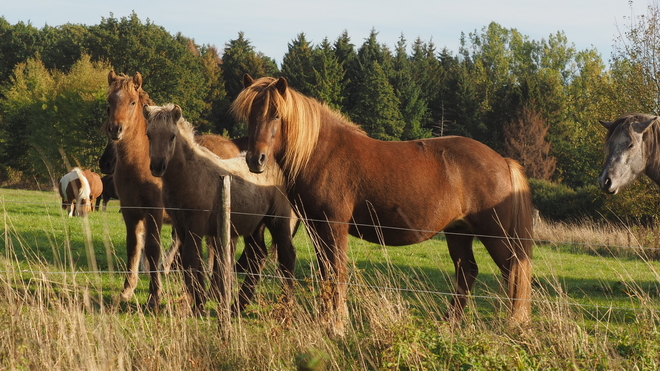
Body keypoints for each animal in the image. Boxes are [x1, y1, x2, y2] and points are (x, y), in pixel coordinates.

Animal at [147, 104, 300, 314]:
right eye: (148, 135)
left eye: (172, 136)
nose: (157, 166)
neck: (190, 174)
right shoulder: (181, 226)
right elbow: (189, 262)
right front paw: (196, 302)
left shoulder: (196, 224)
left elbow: (191, 259)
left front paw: (199, 305)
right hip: (255, 225)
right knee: (257, 256)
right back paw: (238, 305)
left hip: (278, 220)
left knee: (287, 255)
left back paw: (286, 306)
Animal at [235, 74, 532, 332]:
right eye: (250, 114)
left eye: (276, 114)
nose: (255, 159)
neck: (322, 153)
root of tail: (503, 161)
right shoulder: (316, 228)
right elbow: (325, 272)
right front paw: (325, 321)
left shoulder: (334, 226)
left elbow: (338, 271)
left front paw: (338, 324)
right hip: (459, 232)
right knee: (467, 272)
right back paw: (448, 324)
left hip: (494, 234)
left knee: (513, 270)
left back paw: (512, 324)